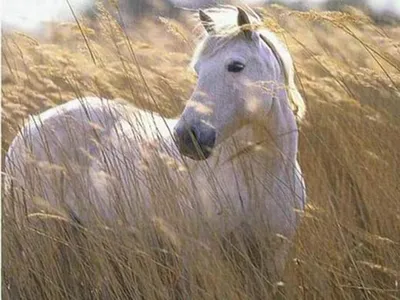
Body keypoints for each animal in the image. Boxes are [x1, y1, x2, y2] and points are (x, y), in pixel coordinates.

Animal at [3, 6, 306, 278]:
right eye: (197, 70)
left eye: (236, 66)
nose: (186, 137)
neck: (259, 173)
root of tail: (28, 127)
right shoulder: (203, 258)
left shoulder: (272, 259)